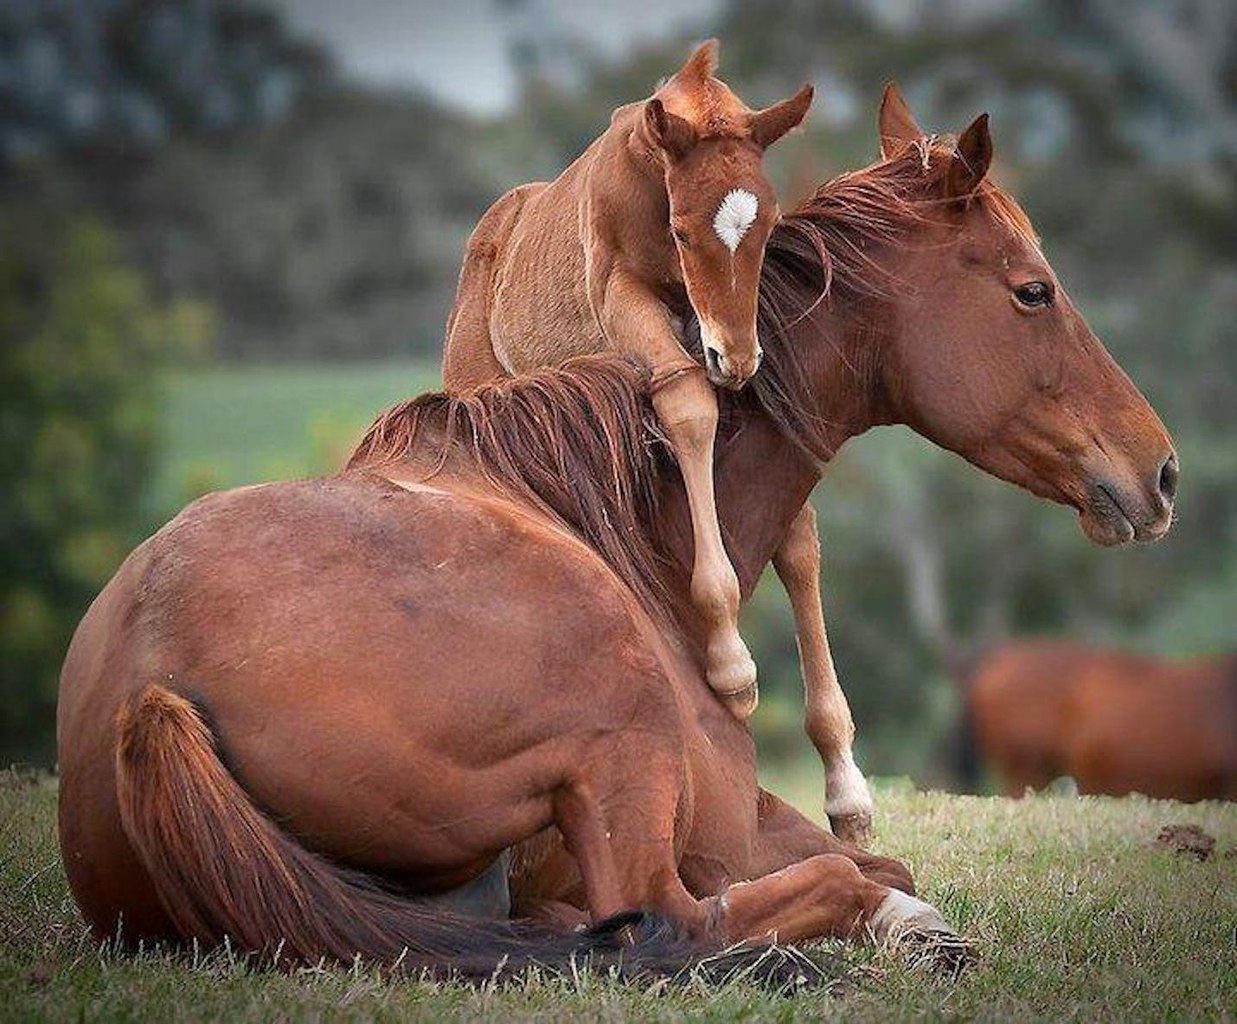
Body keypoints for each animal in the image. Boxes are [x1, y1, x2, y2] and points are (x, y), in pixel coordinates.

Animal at [442, 38, 811, 712]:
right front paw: (732, 665)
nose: (736, 360)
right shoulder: (621, 296)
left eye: (769, 227)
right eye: (682, 231)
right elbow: (688, 400)